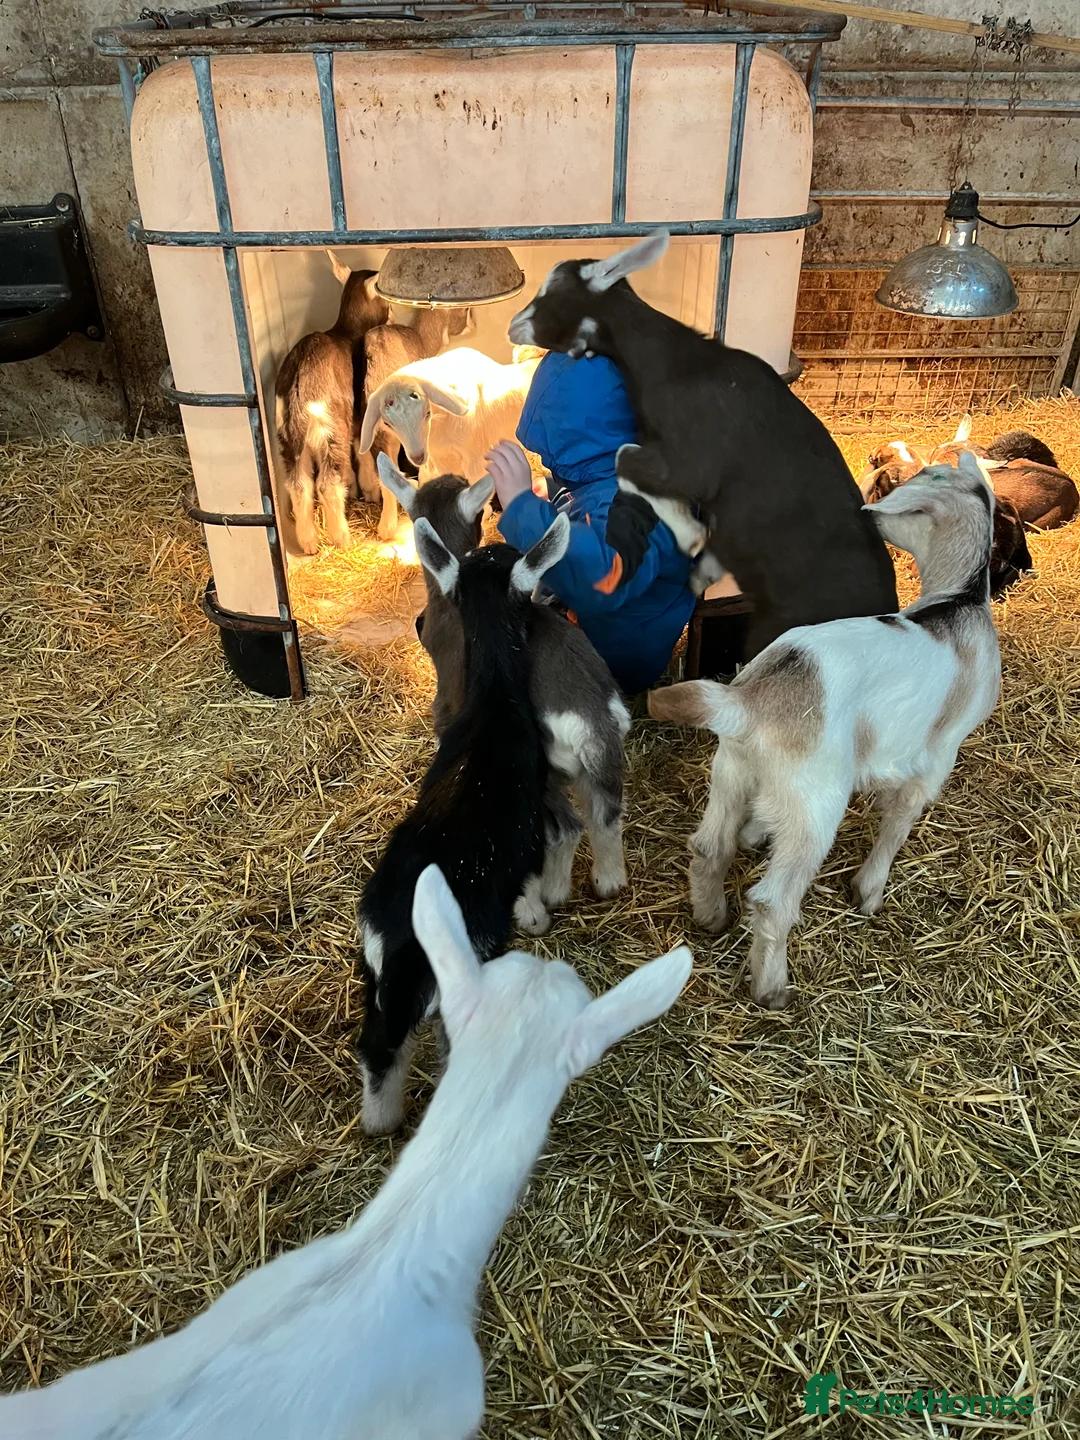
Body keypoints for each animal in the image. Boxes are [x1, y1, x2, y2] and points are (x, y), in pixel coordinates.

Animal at [275, 255, 389, 554]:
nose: (392, 316)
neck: (346, 333)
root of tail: (300, 385)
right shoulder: (358, 413)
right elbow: (361, 449)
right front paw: (368, 489)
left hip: (287, 434)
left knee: (298, 483)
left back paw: (309, 541)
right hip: (331, 426)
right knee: (326, 483)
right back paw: (342, 538)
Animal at [358, 513, 572, 1133]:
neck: (494, 699)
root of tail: (404, 941)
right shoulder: (526, 829)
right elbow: (530, 876)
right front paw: (535, 917)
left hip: (375, 975)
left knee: (378, 1046)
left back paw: (380, 1123)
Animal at [378, 452, 629, 915]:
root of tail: (591, 715)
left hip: (544, 779)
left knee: (564, 828)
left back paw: (544, 898)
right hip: (596, 770)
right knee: (604, 815)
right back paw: (605, 882)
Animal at [508, 230, 898, 661]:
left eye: (552, 291)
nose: (513, 326)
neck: (674, 364)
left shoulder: (693, 462)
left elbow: (625, 460)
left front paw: (691, 535)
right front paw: (702, 569)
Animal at [647, 450, 1000, 1010]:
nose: (868, 514)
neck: (960, 600)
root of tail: (748, 701)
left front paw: (756, 833)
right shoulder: (937, 756)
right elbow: (899, 821)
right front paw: (869, 893)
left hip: (732, 770)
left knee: (708, 847)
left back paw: (711, 917)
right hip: (816, 803)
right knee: (773, 901)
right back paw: (772, 989)